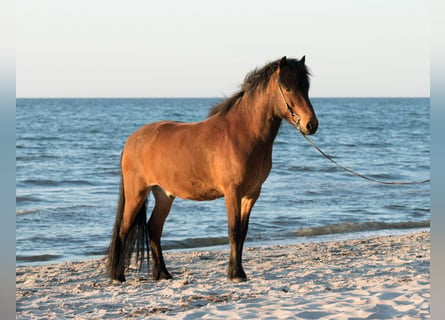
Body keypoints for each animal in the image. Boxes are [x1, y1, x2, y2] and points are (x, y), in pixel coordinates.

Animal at [106, 56, 316, 282]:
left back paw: (163, 273)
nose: (311, 124)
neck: (243, 134)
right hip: (136, 193)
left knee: (154, 228)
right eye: (287, 87)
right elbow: (234, 231)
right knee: (124, 230)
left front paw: (238, 271)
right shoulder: (233, 192)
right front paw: (235, 274)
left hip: (164, 195)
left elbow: (243, 232)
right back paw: (118, 276)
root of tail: (132, 140)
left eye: (306, 87)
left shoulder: (251, 194)